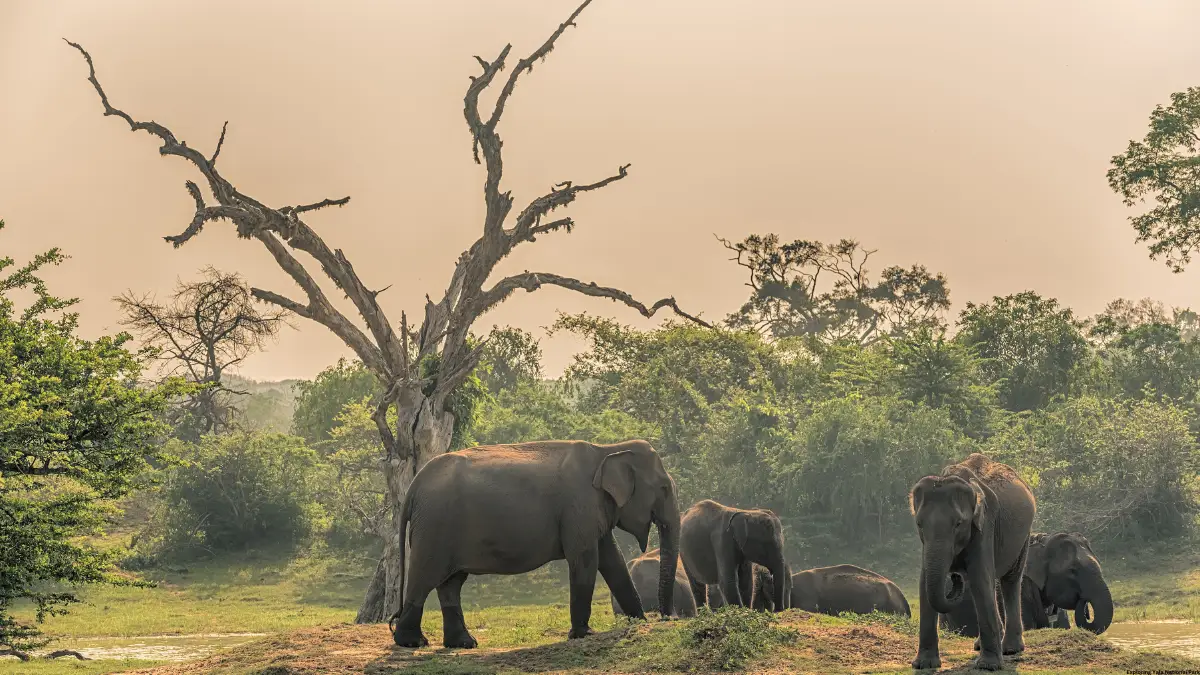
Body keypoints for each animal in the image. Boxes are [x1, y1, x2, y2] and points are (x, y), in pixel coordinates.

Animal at [388, 437, 681, 648]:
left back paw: (464, 644)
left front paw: (639, 622)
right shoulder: (579, 507)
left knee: (451, 583)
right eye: (664, 488)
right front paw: (584, 634)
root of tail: (414, 486)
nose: (667, 617)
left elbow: (612, 560)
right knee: (425, 576)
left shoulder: (592, 511)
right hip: (434, 527)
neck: (608, 450)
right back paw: (413, 642)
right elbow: (585, 560)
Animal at [907, 451, 1032, 667]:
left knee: (1010, 580)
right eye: (919, 524)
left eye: (958, 523)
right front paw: (923, 665)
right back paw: (981, 646)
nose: (955, 576)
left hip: (1023, 536)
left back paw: (1010, 649)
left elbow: (980, 578)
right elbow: (924, 584)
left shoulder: (985, 525)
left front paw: (988, 667)